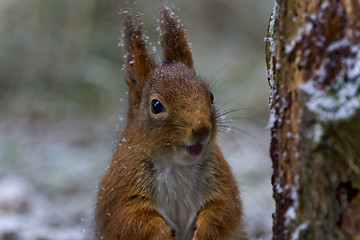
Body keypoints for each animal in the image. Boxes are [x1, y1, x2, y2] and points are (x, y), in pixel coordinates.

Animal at [95, 4, 248, 240]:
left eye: (211, 95)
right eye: (156, 106)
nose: (201, 128)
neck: (176, 164)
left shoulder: (222, 178)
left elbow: (225, 208)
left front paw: (204, 232)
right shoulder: (121, 187)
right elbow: (128, 219)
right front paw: (162, 234)